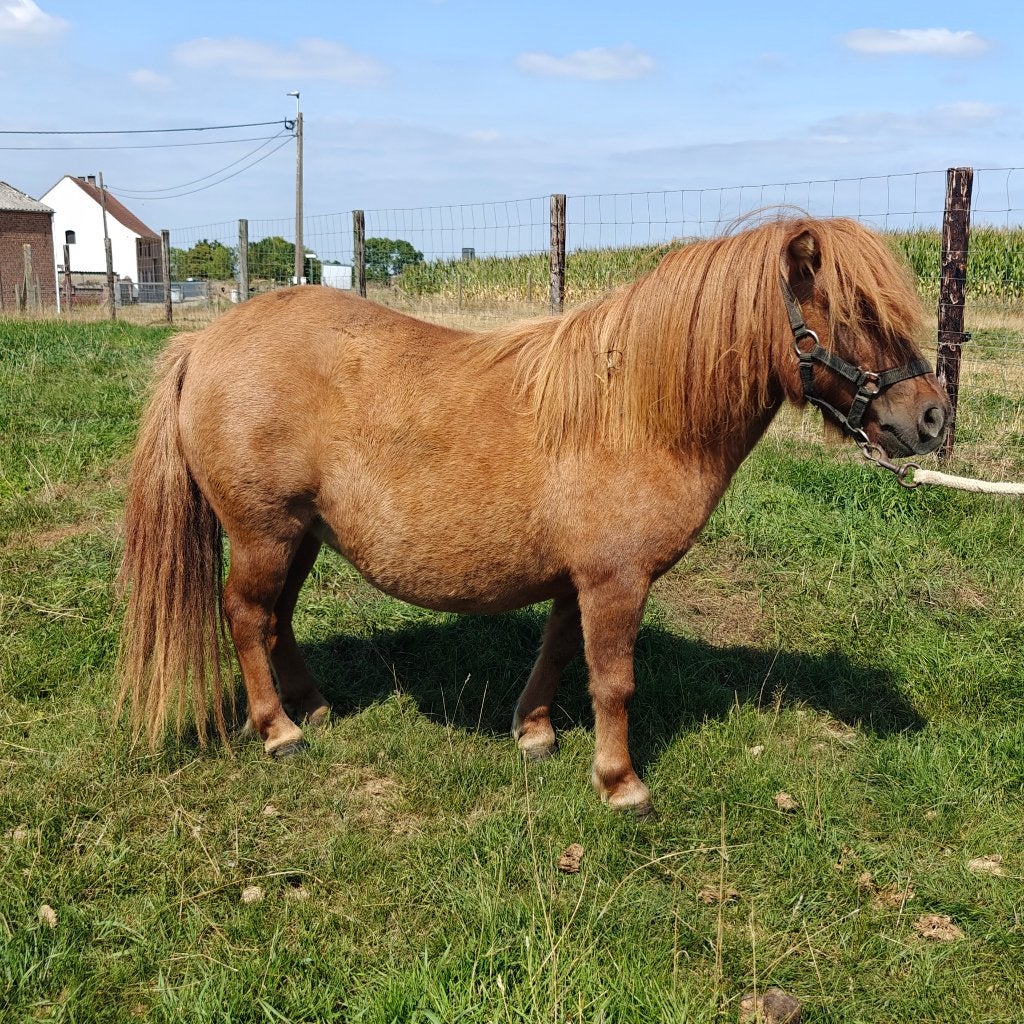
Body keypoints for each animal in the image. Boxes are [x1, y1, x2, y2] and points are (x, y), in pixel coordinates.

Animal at [117, 215, 949, 816]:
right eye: (853, 312)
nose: (932, 418)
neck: (631, 414)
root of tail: (204, 341)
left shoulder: (578, 581)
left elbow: (557, 654)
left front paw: (535, 733)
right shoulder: (616, 583)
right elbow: (613, 682)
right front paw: (620, 783)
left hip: (302, 536)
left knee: (276, 618)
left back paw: (315, 709)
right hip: (264, 533)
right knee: (245, 615)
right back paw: (278, 730)